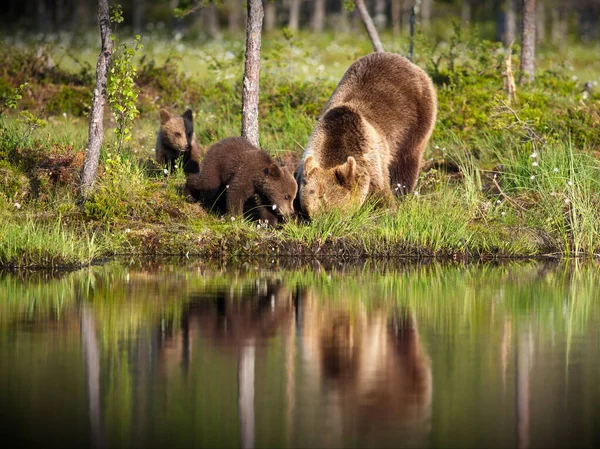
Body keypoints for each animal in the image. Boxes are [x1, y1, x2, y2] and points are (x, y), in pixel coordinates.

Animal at [296, 52, 436, 217]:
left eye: (329, 210)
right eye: (309, 211)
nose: (320, 221)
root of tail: (406, 61)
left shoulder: (371, 160)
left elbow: (381, 194)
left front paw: (389, 208)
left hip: (416, 117)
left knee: (407, 160)